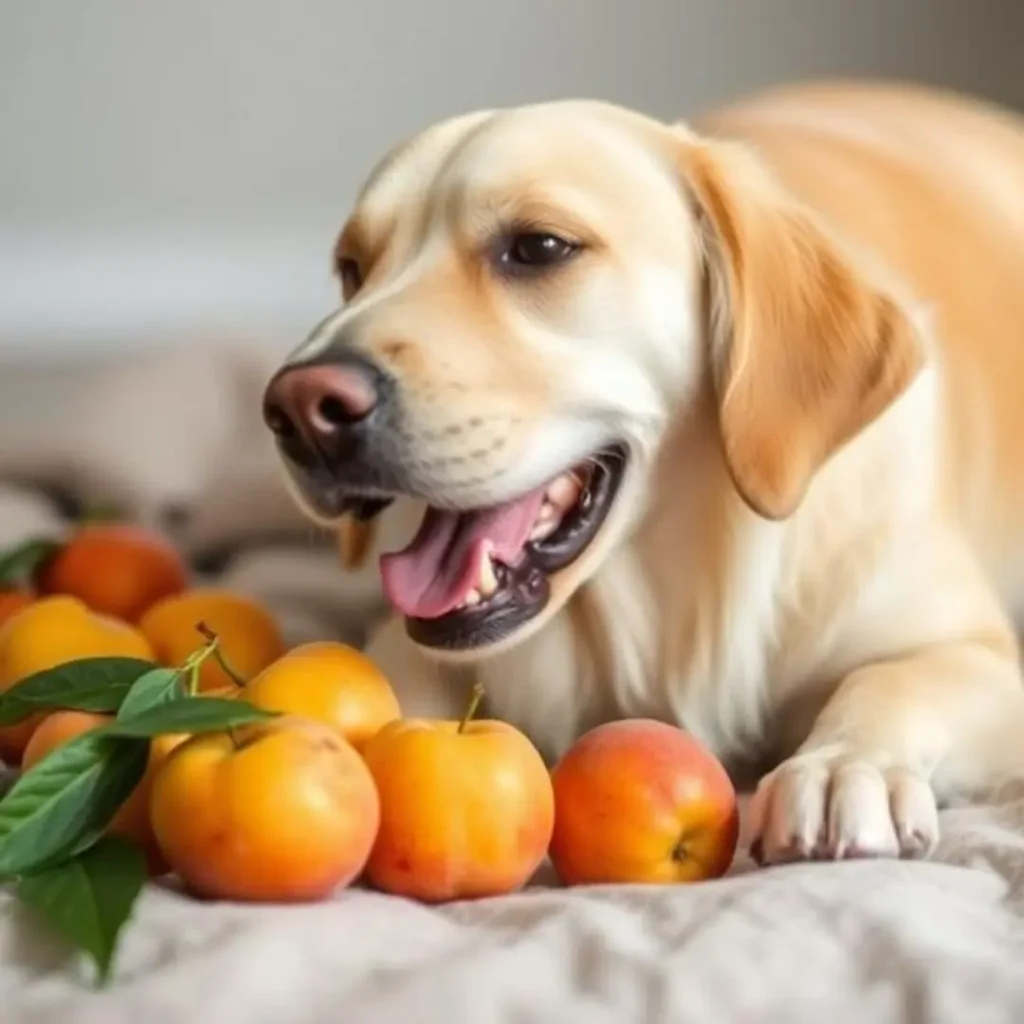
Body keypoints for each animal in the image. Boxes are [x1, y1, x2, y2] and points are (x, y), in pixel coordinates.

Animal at [258, 81, 1024, 864]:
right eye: (352, 269)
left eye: (539, 247)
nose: (298, 409)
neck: (678, 594)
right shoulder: (410, 644)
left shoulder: (977, 654)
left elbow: (892, 681)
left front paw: (841, 766)